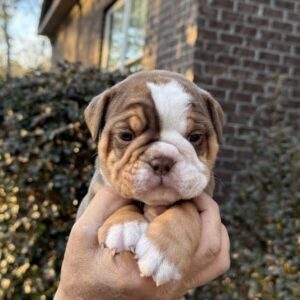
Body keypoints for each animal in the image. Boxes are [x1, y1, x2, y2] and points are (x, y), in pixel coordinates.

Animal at [76, 70, 224, 286]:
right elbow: (123, 198)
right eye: (126, 135)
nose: (162, 161)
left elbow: (185, 209)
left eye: (195, 137)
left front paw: (163, 253)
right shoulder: (95, 193)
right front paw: (124, 225)